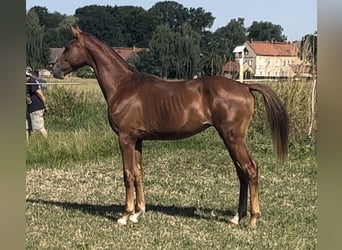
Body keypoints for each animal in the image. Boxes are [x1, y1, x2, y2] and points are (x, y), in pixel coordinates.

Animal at [52, 25, 288, 229]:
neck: (123, 86)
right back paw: (236, 217)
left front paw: (125, 215)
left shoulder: (125, 138)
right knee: (241, 172)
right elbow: (138, 173)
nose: (53, 69)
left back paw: (253, 219)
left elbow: (127, 174)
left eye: (68, 47)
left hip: (233, 138)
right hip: (230, 139)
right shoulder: (138, 140)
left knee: (250, 169)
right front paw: (138, 212)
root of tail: (244, 87)